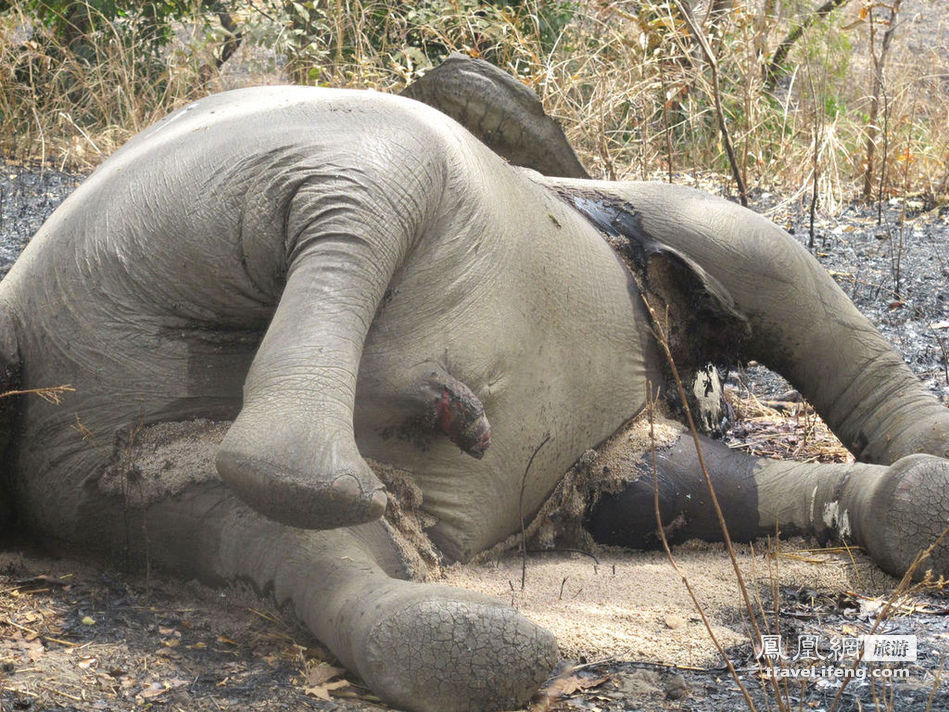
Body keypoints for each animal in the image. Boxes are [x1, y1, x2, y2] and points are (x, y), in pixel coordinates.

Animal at [0, 57, 944, 712]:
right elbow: (777, 282)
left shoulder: (614, 451)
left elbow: (673, 490)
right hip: (280, 179)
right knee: (357, 222)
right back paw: (358, 443)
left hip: (132, 472)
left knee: (299, 545)